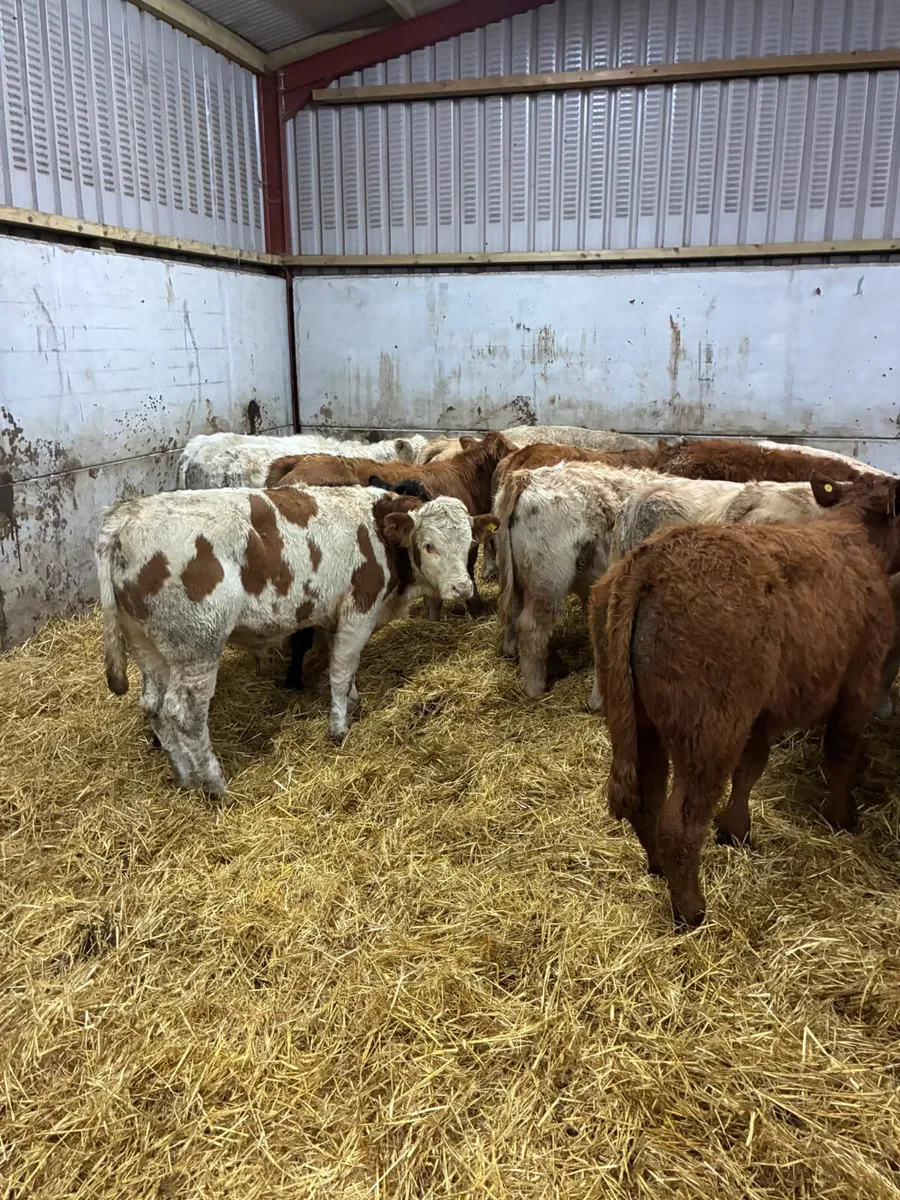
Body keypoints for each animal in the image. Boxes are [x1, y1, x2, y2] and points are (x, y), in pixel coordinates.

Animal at [97, 485, 497, 795]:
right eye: (428, 545)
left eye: (469, 543)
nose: (462, 588)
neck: (377, 532)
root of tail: (127, 515)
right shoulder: (359, 611)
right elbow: (340, 670)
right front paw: (339, 729)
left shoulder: (335, 618)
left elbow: (346, 669)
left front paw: (353, 701)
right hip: (198, 647)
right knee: (184, 714)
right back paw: (215, 786)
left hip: (148, 646)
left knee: (153, 707)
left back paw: (184, 777)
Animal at [588, 471, 900, 929]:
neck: (853, 535)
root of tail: (651, 558)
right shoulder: (861, 678)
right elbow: (841, 753)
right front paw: (841, 817)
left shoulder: (760, 712)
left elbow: (751, 768)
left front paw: (736, 829)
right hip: (706, 732)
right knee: (679, 823)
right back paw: (691, 910)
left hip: (637, 721)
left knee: (646, 800)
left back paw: (659, 868)